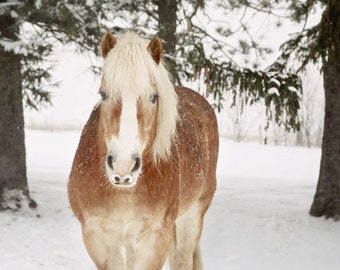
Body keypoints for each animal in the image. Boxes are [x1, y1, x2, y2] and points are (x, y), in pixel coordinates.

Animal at [67, 32, 219, 270]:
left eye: (153, 97)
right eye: (103, 94)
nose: (123, 167)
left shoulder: (153, 239)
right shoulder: (98, 237)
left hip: (192, 215)